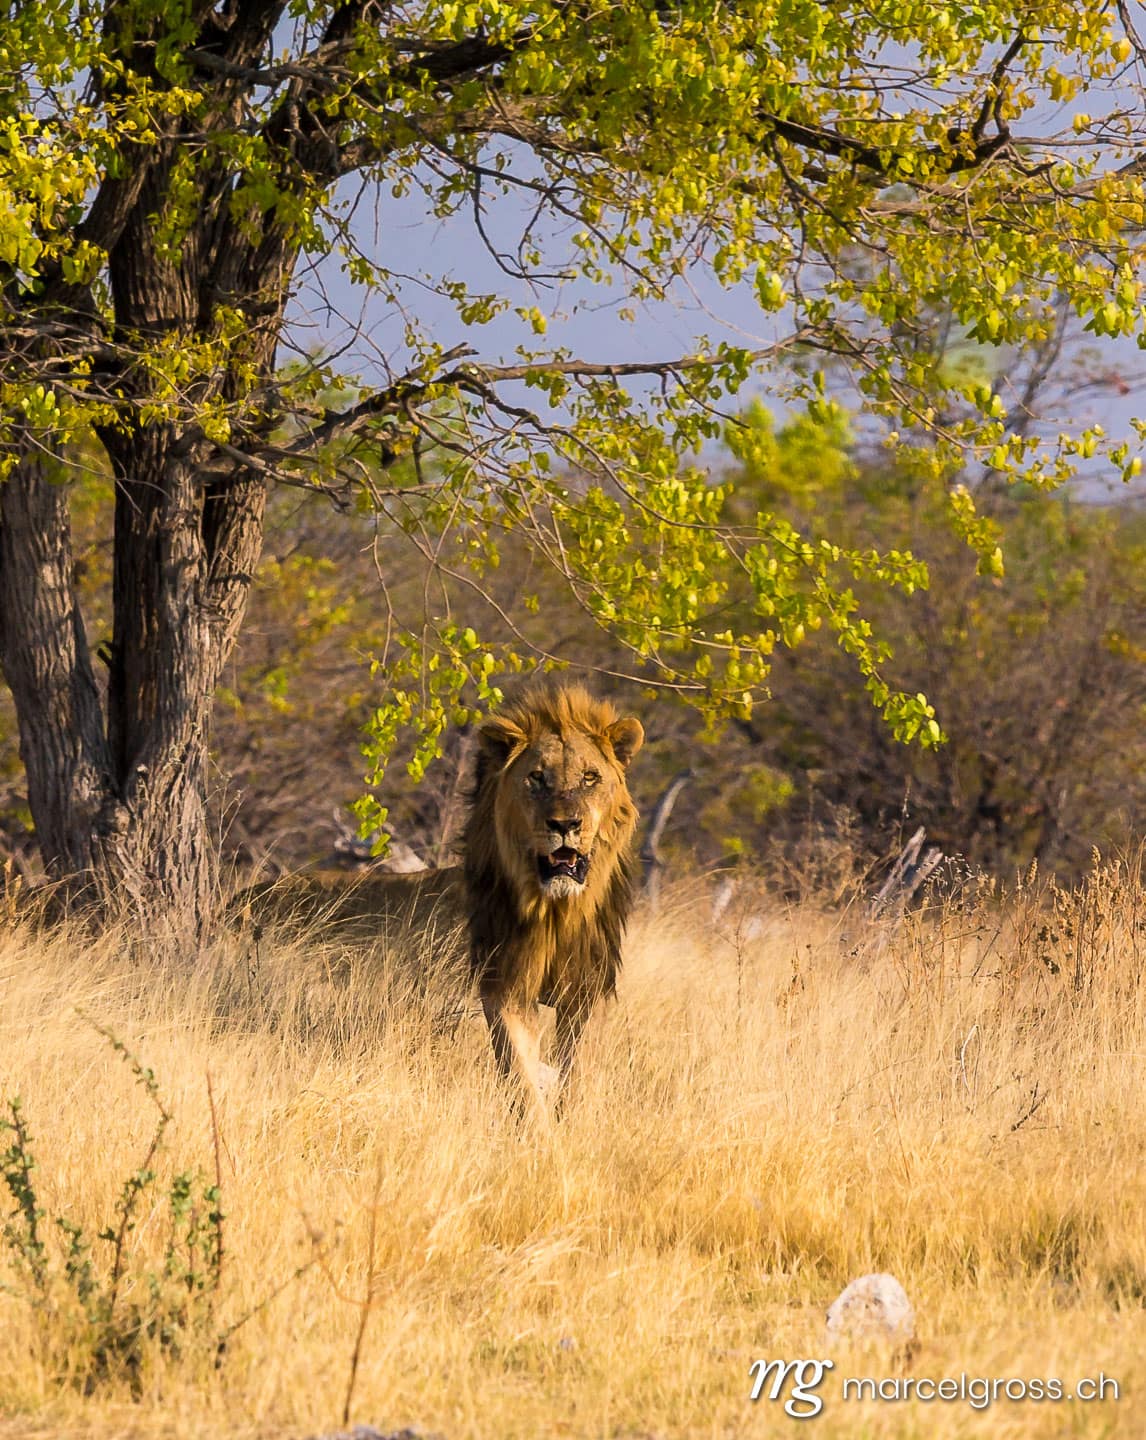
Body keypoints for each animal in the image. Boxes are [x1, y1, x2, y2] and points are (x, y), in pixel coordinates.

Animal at [234, 681, 644, 1111]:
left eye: (590, 778)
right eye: (536, 778)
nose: (565, 824)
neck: (556, 911)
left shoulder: (585, 989)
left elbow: (572, 1068)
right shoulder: (501, 980)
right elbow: (520, 1071)